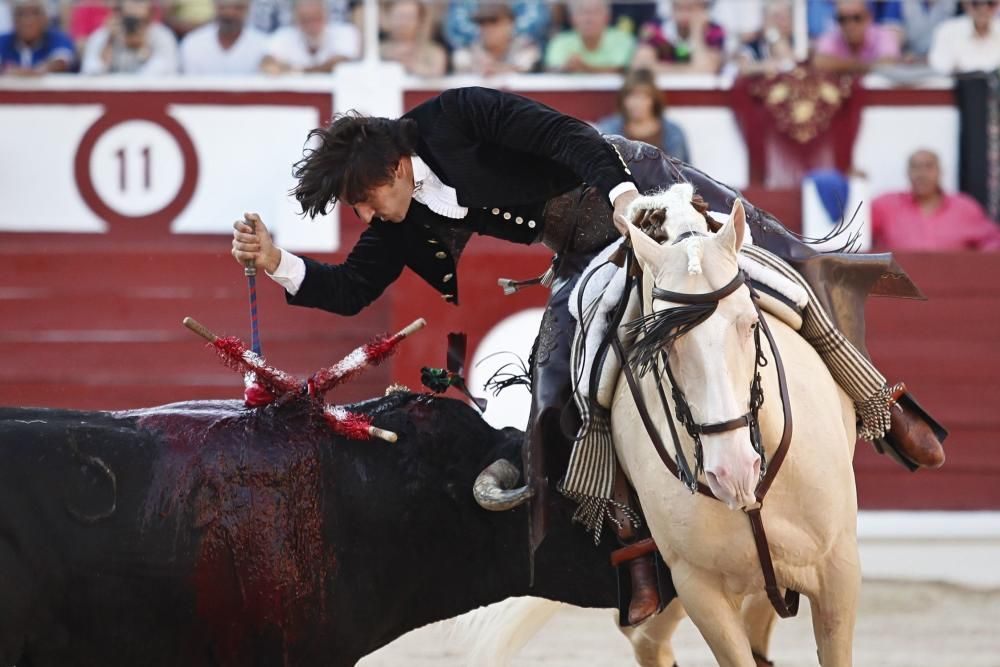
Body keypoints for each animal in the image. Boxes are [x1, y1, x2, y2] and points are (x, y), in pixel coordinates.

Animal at [608, 190, 860, 664]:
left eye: (751, 322)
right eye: (664, 341)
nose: (733, 471)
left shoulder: (839, 568)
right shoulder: (698, 589)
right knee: (646, 638)